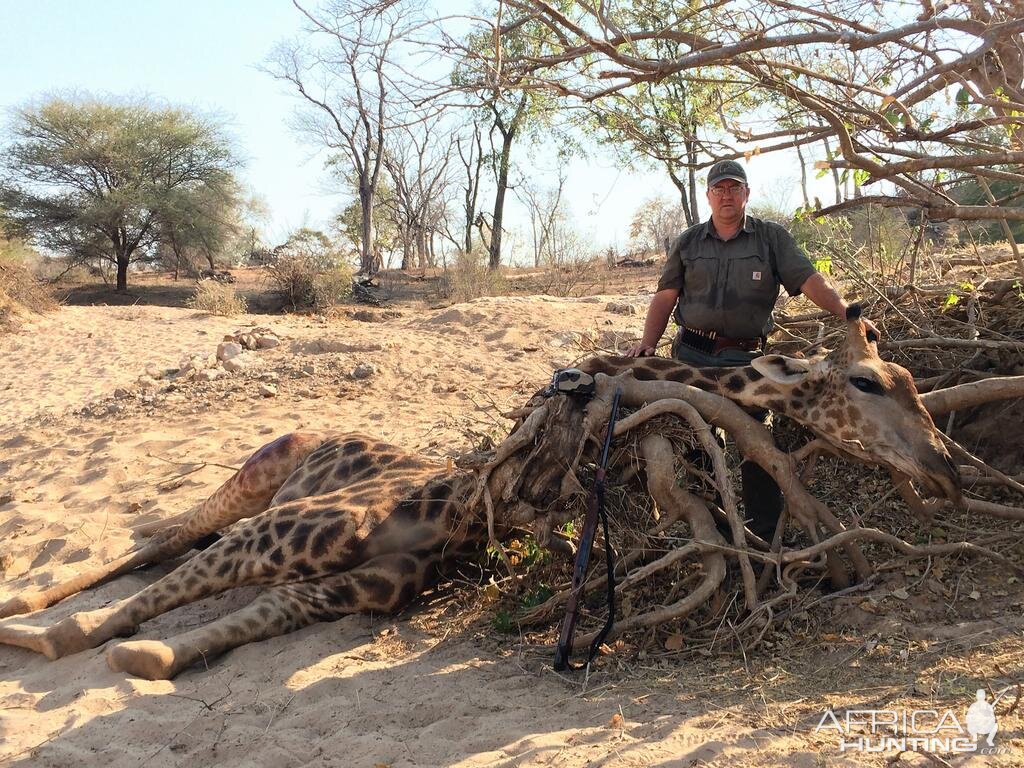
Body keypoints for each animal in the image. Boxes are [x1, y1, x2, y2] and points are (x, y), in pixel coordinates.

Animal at [0, 307, 958, 679]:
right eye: (871, 382)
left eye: (915, 383)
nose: (946, 468)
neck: (464, 504)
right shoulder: (277, 536)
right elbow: (116, 616)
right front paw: (50, 637)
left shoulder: (353, 587)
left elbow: (198, 636)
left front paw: (148, 657)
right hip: (255, 475)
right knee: (157, 539)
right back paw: (22, 605)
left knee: (164, 545)